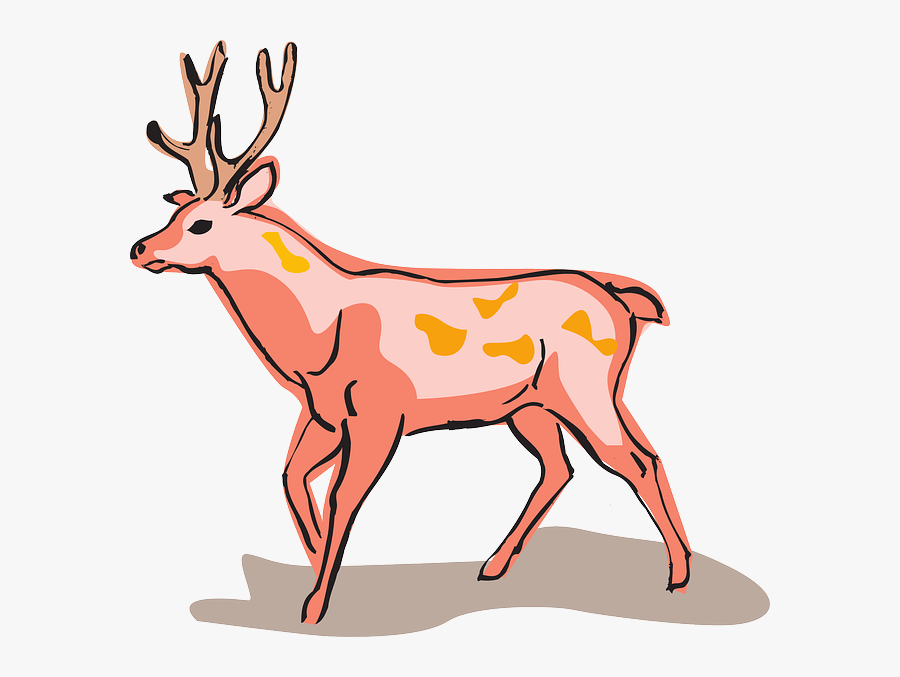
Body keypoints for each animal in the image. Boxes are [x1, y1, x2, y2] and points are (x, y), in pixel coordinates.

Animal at [131, 41, 693, 625]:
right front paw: (316, 565)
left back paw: (679, 575)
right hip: (529, 404)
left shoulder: (380, 412)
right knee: (559, 467)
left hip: (587, 389)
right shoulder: (322, 412)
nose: (140, 248)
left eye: (201, 223)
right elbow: (290, 478)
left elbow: (341, 498)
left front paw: (316, 607)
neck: (313, 342)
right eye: (176, 210)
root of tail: (625, 300)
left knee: (638, 460)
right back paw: (494, 564)